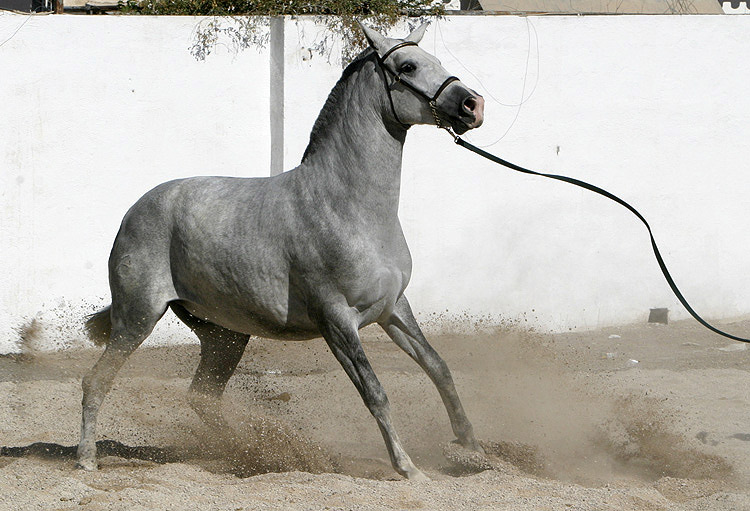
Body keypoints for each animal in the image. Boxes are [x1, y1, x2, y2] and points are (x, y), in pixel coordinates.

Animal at [78, 23, 488, 480]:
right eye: (408, 66)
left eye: (436, 60)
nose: (473, 105)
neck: (350, 208)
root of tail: (135, 211)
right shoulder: (337, 321)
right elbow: (375, 392)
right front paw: (408, 468)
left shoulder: (393, 309)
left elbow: (439, 368)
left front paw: (472, 450)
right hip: (138, 317)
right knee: (97, 381)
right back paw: (87, 459)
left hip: (224, 334)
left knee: (202, 396)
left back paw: (249, 451)